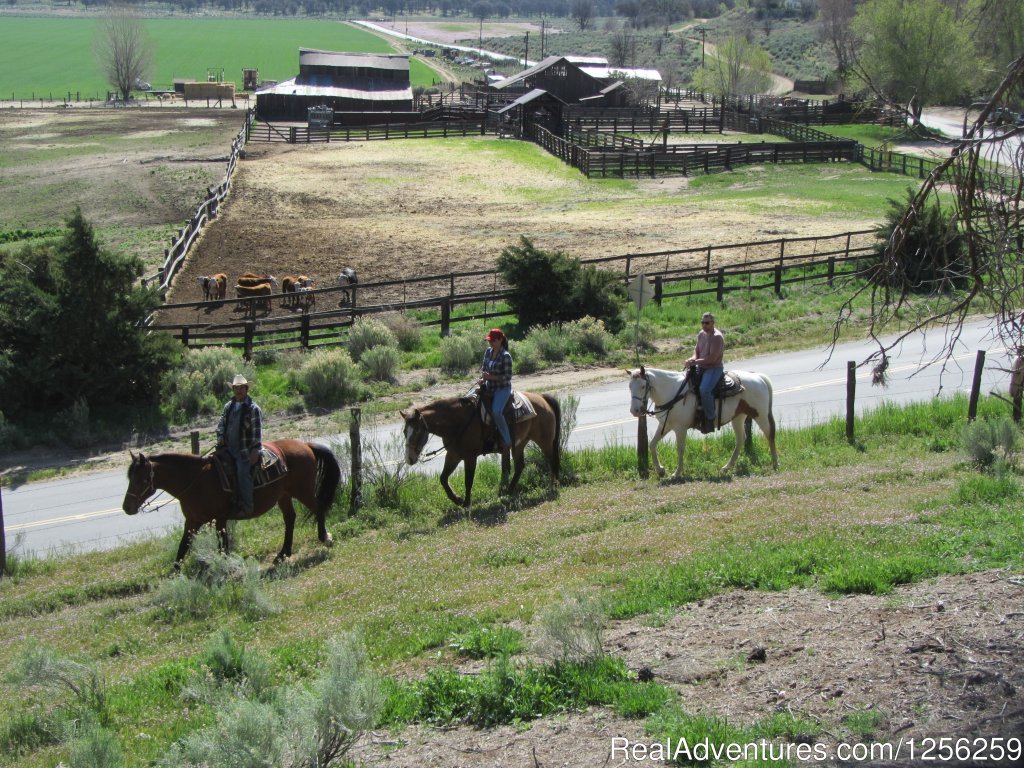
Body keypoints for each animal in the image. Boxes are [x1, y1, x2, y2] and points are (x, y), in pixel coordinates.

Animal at [122, 438, 339, 565]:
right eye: (129, 477)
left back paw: (325, 538)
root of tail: (305, 445)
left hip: (302, 491)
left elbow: (223, 547)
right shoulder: (192, 522)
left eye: (142, 479)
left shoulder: (220, 519)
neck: (196, 480)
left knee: (318, 507)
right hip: (284, 495)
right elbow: (182, 549)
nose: (127, 507)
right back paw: (283, 554)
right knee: (290, 518)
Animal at [399, 393, 561, 507]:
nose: (409, 458)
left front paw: (466, 502)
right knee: (520, 465)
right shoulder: (453, 455)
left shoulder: (470, 457)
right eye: (405, 432)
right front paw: (457, 499)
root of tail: (542, 398)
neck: (458, 422)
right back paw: (508, 490)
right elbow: (443, 478)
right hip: (520, 444)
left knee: (551, 459)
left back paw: (552, 486)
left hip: (544, 441)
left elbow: (468, 480)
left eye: (417, 432)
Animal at [626, 368, 778, 481]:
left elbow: (680, 449)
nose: (635, 411)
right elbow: (652, 444)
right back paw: (727, 467)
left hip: (760, 414)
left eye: (643, 386)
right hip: (738, 417)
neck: (672, 392)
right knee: (741, 439)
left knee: (769, 434)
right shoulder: (666, 425)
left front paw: (677, 473)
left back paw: (775, 464)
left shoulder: (680, 428)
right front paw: (660, 470)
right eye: (629, 387)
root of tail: (758, 376)